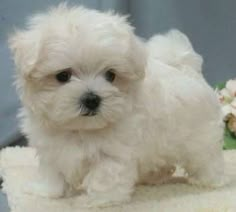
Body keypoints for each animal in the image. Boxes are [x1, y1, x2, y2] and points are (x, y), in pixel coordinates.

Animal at [8, 4, 225, 207]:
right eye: (63, 76)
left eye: (111, 75)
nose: (92, 99)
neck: (79, 129)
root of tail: (189, 71)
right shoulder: (50, 148)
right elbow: (52, 172)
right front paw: (47, 192)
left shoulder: (113, 153)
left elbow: (103, 178)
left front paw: (99, 201)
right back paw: (155, 177)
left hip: (201, 138)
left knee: (207, 158)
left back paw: (210, 180)